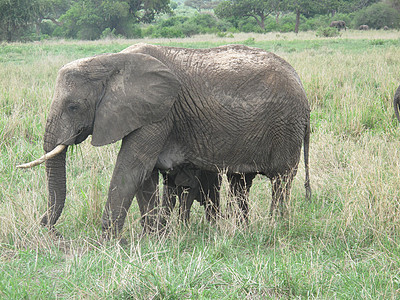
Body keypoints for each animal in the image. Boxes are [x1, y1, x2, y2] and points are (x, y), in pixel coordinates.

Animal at [18, 42, 312, 239]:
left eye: (73, 107)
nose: (47, 227)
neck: (111, 61)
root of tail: (300, 83)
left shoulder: (160, 113)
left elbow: (131, 168)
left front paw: (107, 242)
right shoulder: (147, 113)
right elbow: (145, 175)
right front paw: (152, 237)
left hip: (287, 126)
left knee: (281, 180)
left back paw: (275, 228)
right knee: (241, 182)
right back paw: (242, 231)